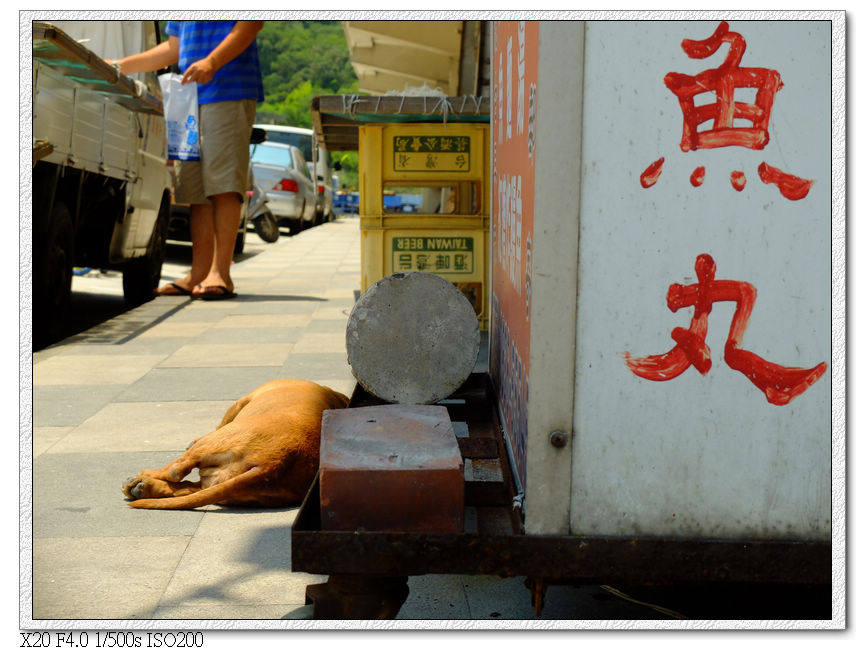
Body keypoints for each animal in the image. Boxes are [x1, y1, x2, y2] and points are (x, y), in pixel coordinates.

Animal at [122, 378, 352, 508]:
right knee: (188, 489)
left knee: (176, 471)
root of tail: (273, 464)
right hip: (221, 484)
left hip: (214, 443)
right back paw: (143, 487)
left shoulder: (239, 403)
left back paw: (140, 479)